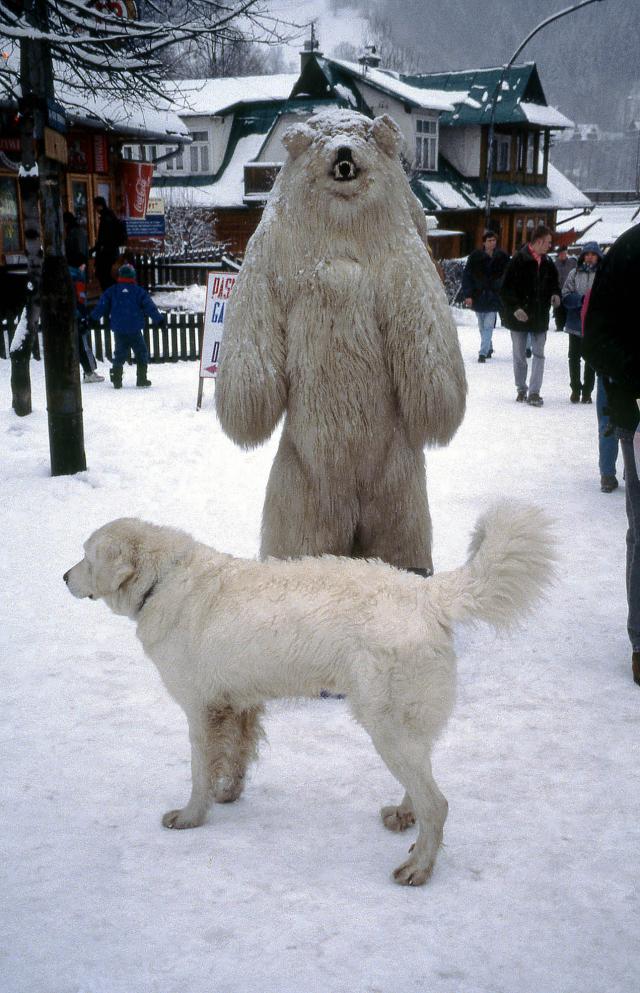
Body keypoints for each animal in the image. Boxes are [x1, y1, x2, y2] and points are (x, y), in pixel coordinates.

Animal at [66, 504, 556, 884]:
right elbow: (236, 757)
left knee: (438, 803)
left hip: (387, 726)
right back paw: (404, 817)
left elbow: (199, 771)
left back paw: (418, 867)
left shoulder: (201, 710)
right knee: (422, 786)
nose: (63, 577)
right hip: (405, 725)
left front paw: (191, 817)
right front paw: (229, 795)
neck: (162, 581)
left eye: (86, 557)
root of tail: (426, 593)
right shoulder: (239, 703)